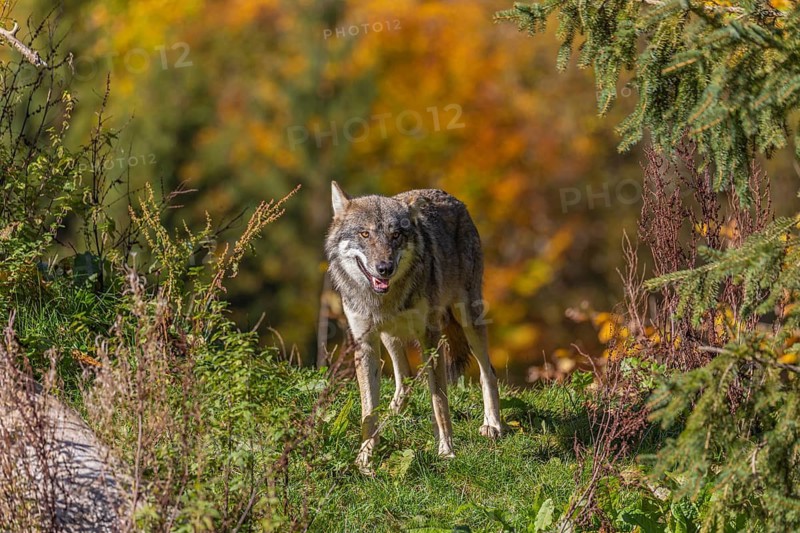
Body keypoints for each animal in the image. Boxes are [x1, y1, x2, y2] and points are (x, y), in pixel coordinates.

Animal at [324, 181, 504, 472]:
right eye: (364, 233)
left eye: (396, 235)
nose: (384, 268)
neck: (384, 300)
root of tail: (449, 197)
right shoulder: (365, 344)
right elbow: (368, 411)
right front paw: (365, 458)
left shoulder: (430, 337)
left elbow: (439, 401)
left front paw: (446, 450)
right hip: (390, 336)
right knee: (405, 377)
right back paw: (392, 414)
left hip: (467, 317)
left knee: (488, 372)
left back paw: (492, 425)